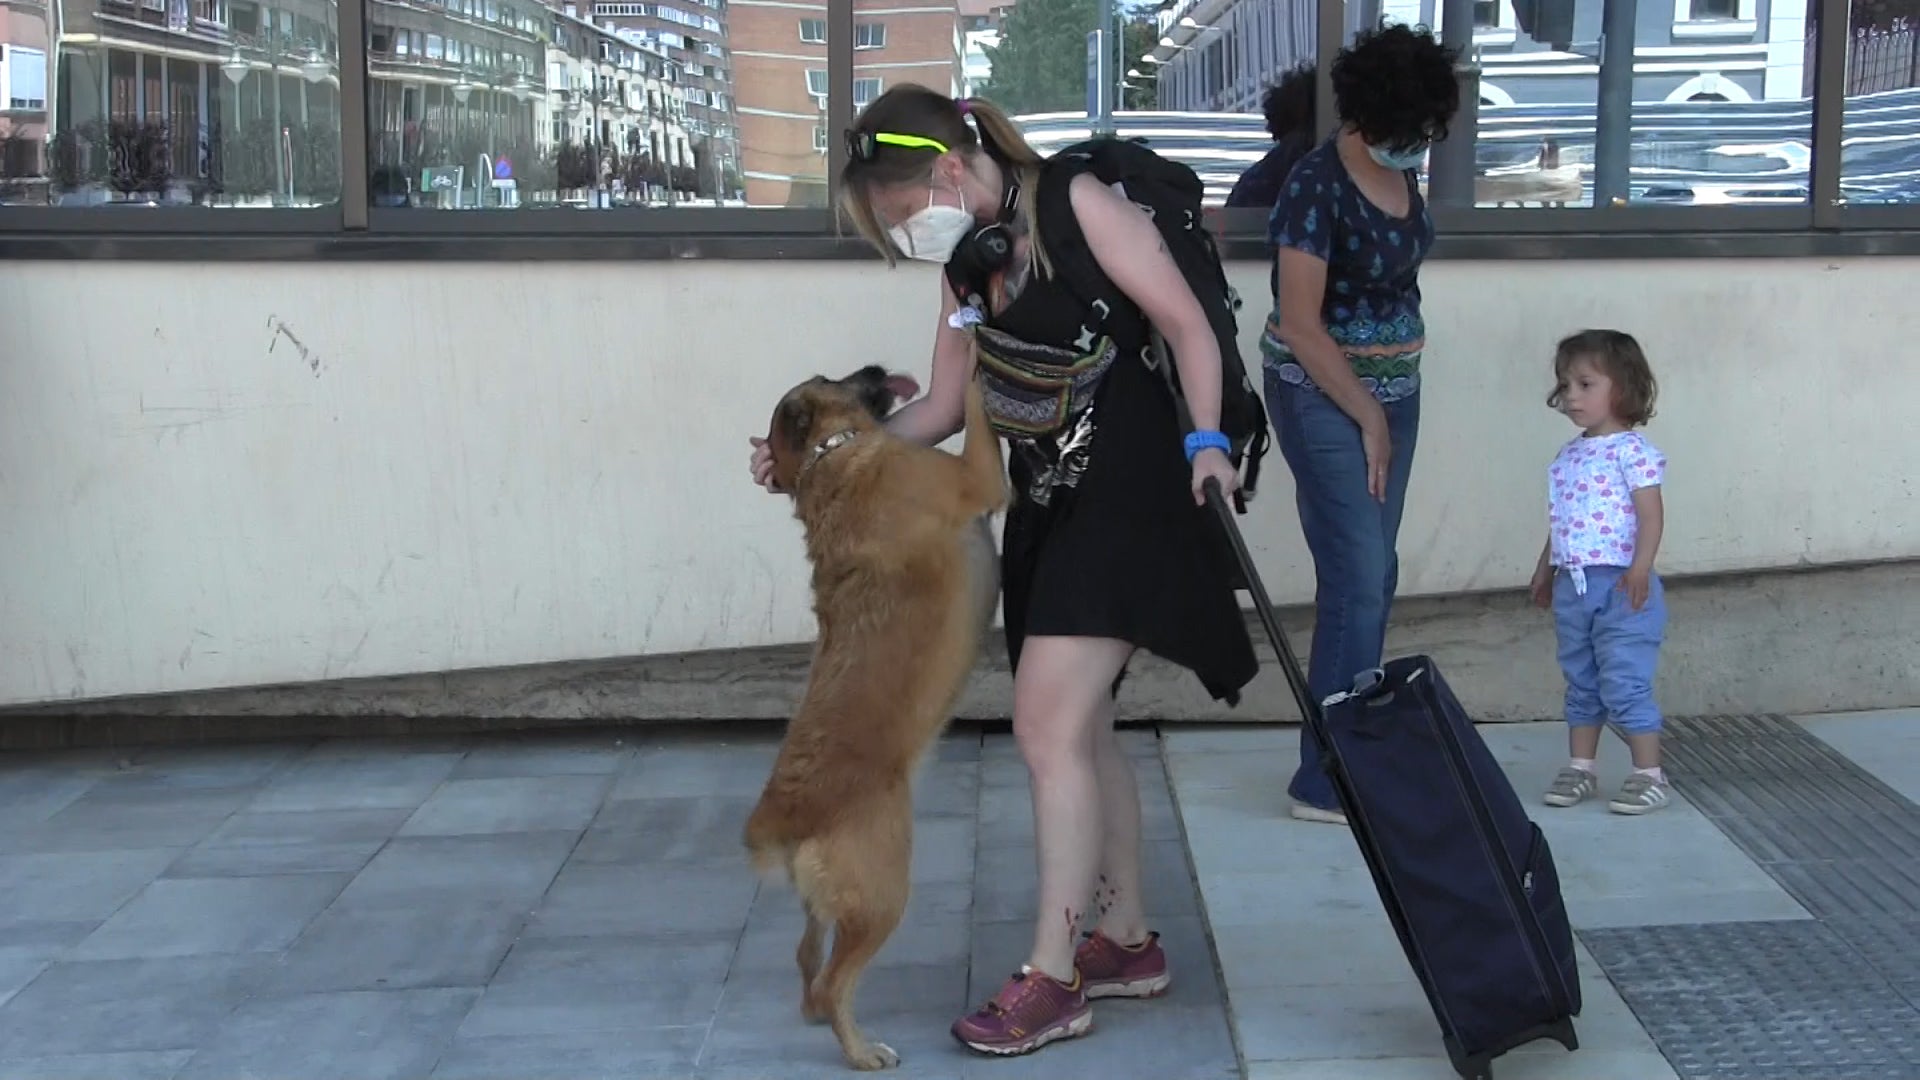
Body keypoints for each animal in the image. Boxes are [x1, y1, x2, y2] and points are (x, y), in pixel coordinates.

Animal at [741, 363, 1006, 1068]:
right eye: (831, 376)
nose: (879, 370)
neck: (830, 458)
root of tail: (784, 819)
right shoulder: (979, 478)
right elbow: (977, 407)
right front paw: (973, 351)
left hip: (833, 904)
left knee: (808, 958)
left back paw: (819, 1014)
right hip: (885, 895)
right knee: (837, 982)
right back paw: (860, 1051)